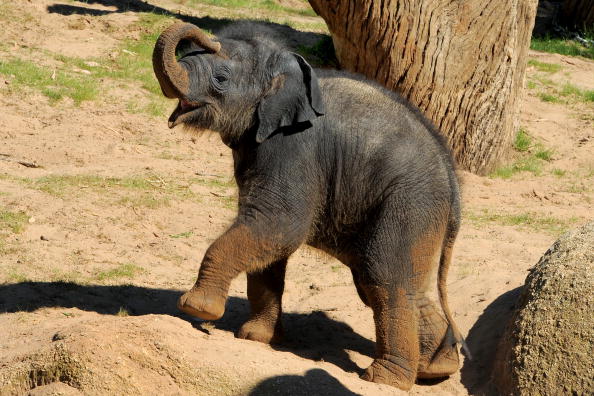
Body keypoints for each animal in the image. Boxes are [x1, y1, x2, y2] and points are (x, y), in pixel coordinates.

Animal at [153, 21, 462, 390]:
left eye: (221, 78)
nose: (206, 36)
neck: (285, 69)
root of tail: (452, 179)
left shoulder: (295, 146)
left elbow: (280, 224)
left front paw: (198, 309)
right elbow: (265, 239)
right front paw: (256, 337)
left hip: (410, 202)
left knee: (384, 277)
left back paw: (384, 379)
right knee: (396, 282)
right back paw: (436, 369)